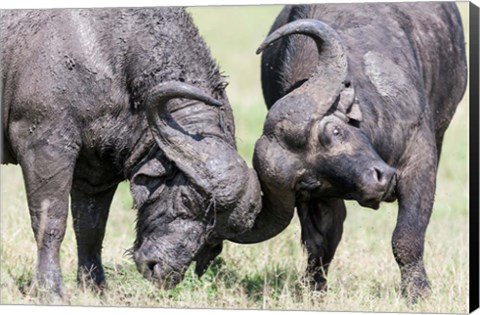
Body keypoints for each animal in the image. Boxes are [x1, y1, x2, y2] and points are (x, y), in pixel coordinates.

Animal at [0, 6, 262, 300]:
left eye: (215, 234)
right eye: (186, 199)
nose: (161, 270)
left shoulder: (96, 173)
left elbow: (90, 229)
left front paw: (95, 287)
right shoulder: (45, 147)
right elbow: (51, 222)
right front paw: (51, 290)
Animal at [231, 2, 466, 302]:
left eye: (334, 130)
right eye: (309, 182)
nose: (377, 183)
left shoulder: (419, 160)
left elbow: (406, 236)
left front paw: (417, 292)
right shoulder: (318, 200)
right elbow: (321, 242)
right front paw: (314, 288)